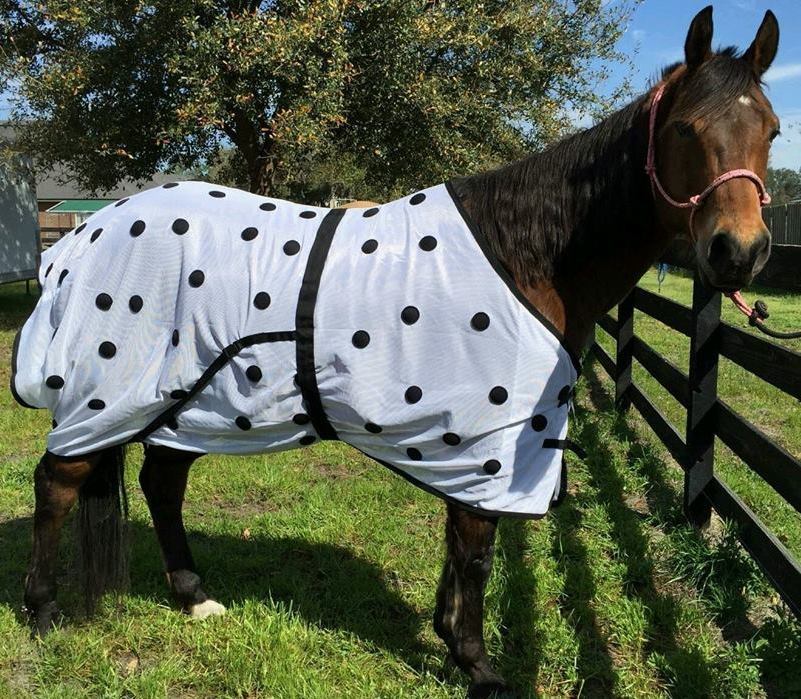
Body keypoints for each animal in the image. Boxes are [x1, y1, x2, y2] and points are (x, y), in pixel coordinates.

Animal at [15, 6, 779, 697]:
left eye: (769, 130)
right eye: (684, 128)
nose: (738, 253)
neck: (526, 254)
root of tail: (88, 233)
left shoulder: (464, 448)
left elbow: (460, 547)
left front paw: (451, 642)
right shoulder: (490, 442)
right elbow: (476, 555)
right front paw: (478, 666)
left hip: (190, 401)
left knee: (161, 485)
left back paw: (194, 596)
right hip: (110, 395)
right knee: (57, 484)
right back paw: (44, 611)